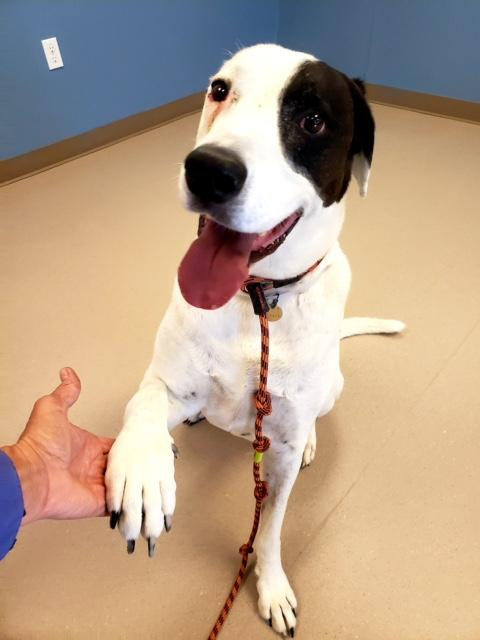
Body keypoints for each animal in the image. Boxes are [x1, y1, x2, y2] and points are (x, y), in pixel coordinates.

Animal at [106, 43, 404, 636]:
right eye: (220, 90)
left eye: (312, 120)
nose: (208, 170)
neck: (257, 299)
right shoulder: (167, 381)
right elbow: (144, 403)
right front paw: (143, 470)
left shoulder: (281, 458)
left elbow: (269, 528)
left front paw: (270, 586)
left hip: (329, 390)